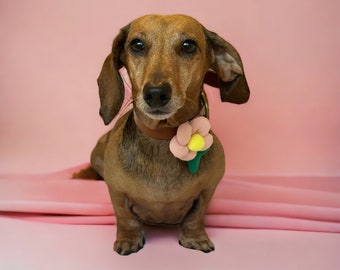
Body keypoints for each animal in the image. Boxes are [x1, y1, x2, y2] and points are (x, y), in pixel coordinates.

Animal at [80, 14, 248, 255]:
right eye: (137, 45)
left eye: (188, 45)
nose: (156, 94)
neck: (164, 137)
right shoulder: (117, 192)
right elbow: (125, 218)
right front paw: (128, 239)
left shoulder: (208, 191)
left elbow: (196, 217)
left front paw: (195, 238)